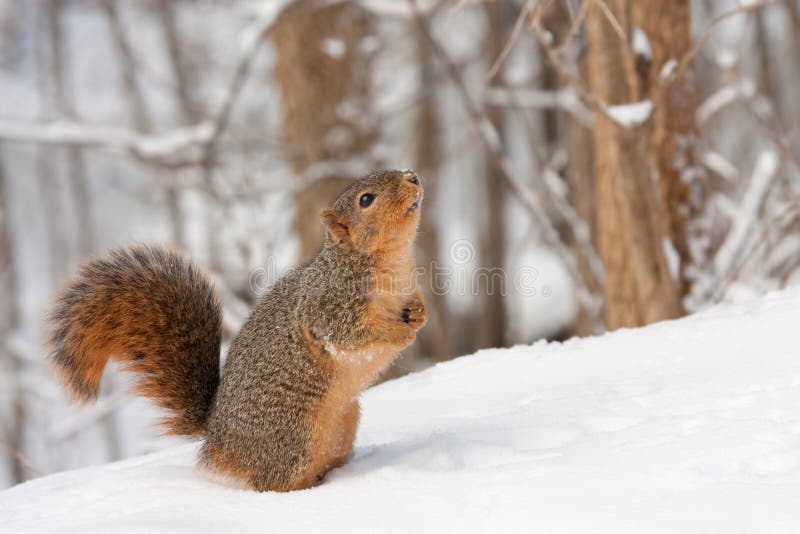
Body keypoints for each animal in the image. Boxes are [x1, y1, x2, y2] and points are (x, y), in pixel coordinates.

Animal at [47, 170, 428, 492]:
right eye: (367, 200)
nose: (412, 176)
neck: (391, 264)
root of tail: (217, 437)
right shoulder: (330, 308)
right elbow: (350, 335)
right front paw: (400, 334)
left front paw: (419, 315)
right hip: (295, 438)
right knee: (273, 483)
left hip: (345, 422)